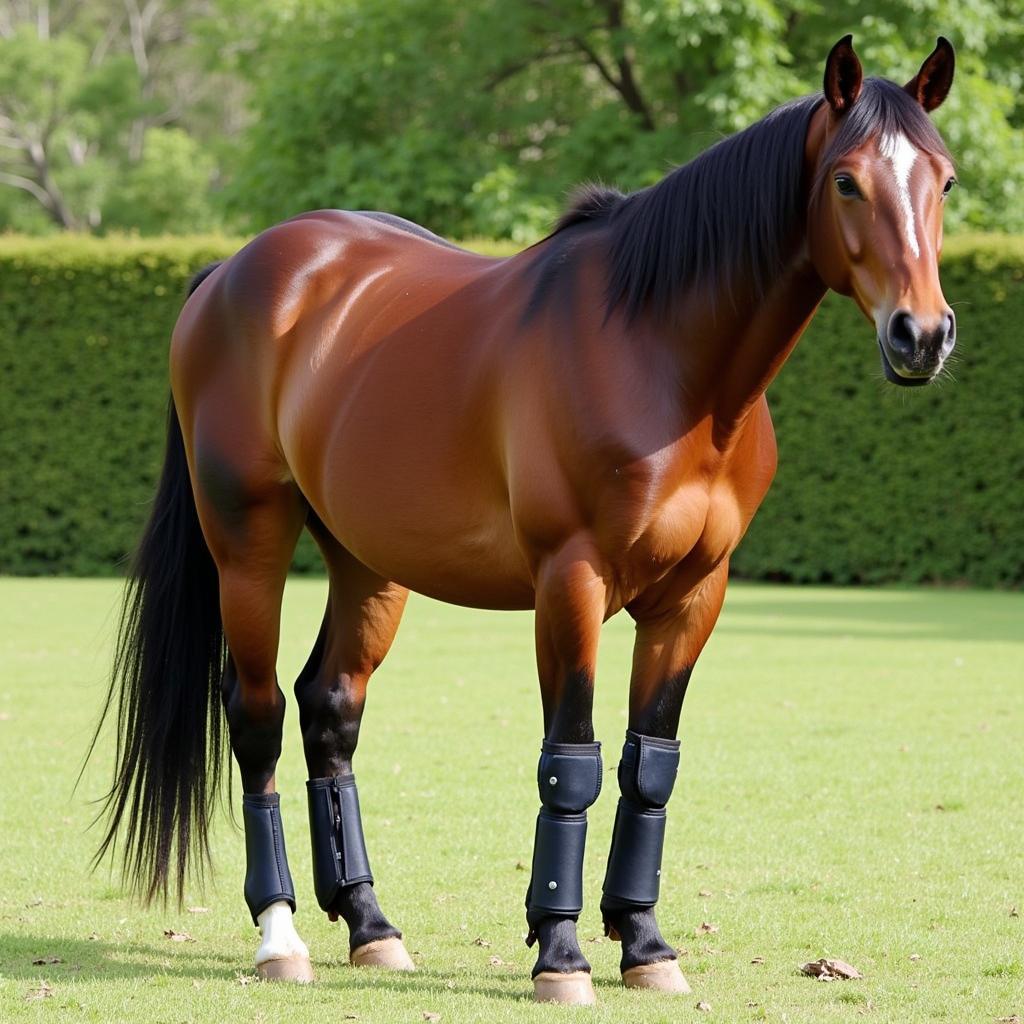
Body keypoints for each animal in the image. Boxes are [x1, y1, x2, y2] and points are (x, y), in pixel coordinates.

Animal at [90, 36, 958, 1003]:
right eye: (846, 181)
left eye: (945, 180)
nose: (922, 334)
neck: (660, 353)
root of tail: (232, 272)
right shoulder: (569, 582)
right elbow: (569, 761)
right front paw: (562, 953)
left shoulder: (695, 594)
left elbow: (649, 763)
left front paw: (645, 943)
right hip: (248, 544)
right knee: (258, 715)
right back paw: (280, 937)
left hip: (367, 560)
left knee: (330, 708)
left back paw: (371, 924)